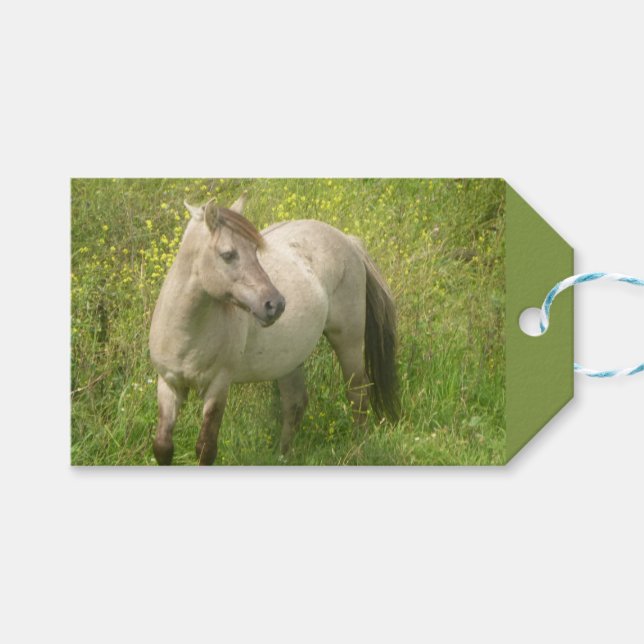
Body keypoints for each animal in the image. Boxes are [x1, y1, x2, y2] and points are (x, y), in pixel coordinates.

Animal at [149, 193, 399, 465]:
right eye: (228, 254)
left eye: (254, 250)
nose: (275, 304)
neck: (186, 332)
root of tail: (348, 241)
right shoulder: (169, 384)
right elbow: (163, 447)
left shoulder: (218, 386)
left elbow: (206, 448)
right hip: (289, 359)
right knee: (295, 403)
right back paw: (283, 457)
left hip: (349, 342)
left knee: (357, 395)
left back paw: (359, 448)